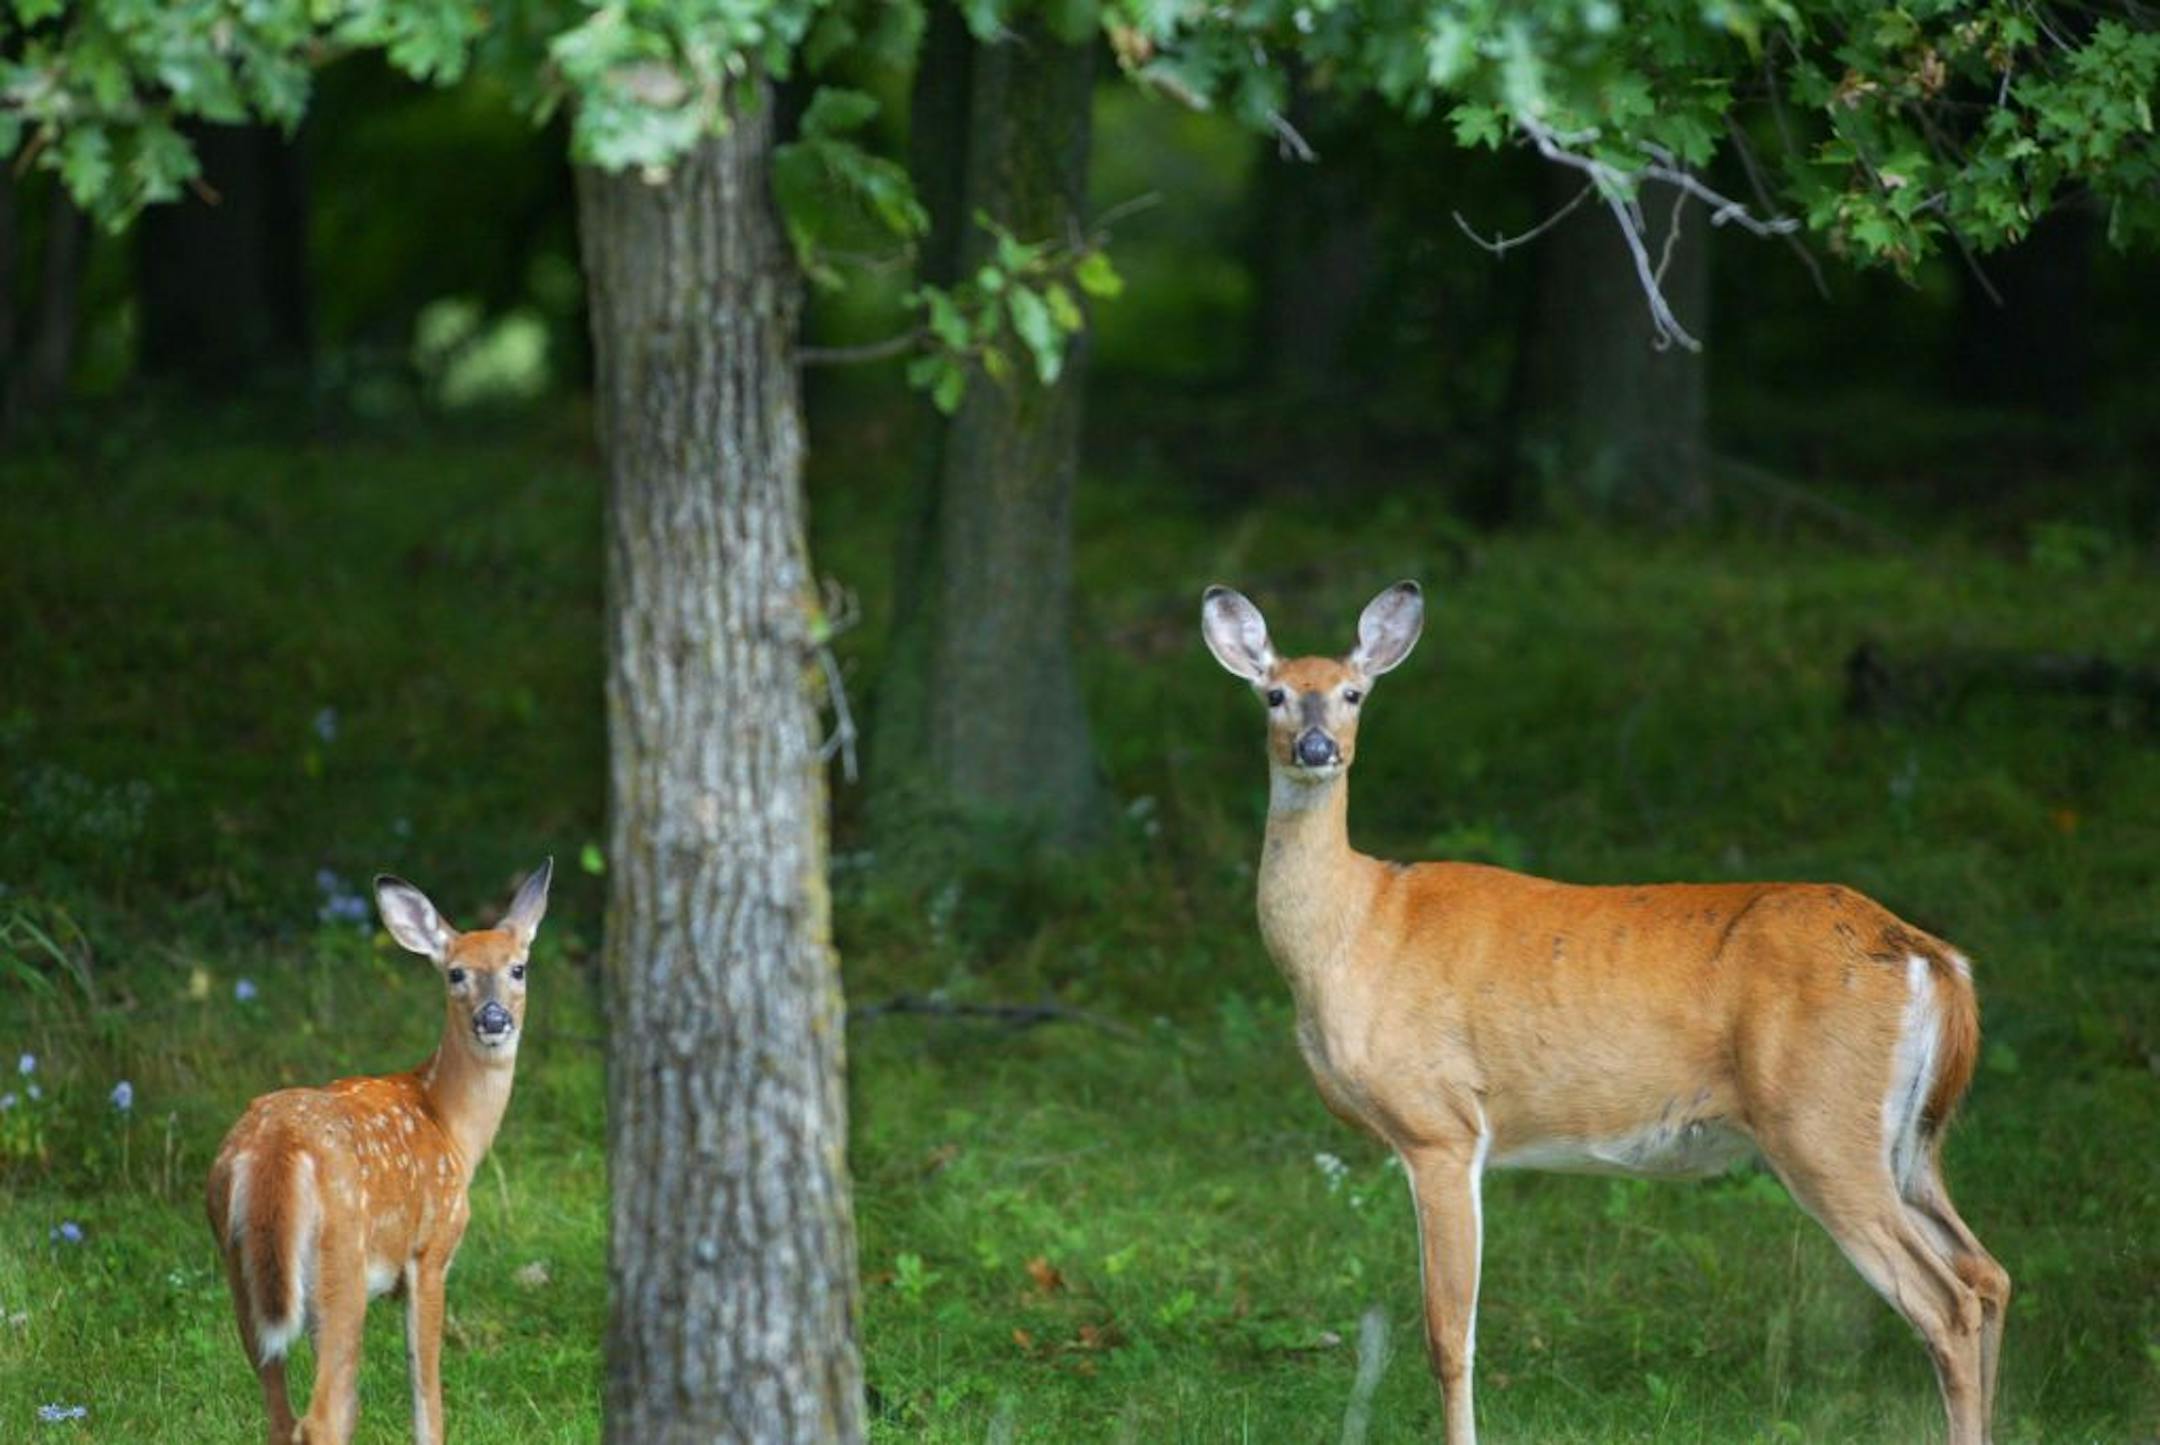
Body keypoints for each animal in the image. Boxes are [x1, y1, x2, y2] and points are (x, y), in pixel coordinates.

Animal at [207, 860, 552, 1445]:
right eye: (455, 973)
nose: (493, 1019)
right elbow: (426, 1394)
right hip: (341, 1265)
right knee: (322, 1416)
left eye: (518, 968)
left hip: (245, 1273)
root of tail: (276, 1146)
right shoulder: (431, 1250)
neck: (451, 1126)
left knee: (284, 1414)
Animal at [1201, 581, 2010, 1445]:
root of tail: (1935, 959)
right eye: (1275, 693)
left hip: (1821, 1121)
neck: (1356, 928)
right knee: (1987, 1271)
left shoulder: (1439, 1124)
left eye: (1354, 693)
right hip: (1910, 1139)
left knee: (1948, 1300)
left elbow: (1449, 1333)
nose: (1317, 747)